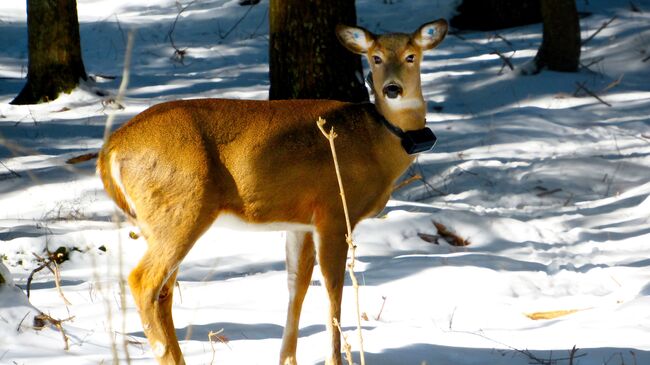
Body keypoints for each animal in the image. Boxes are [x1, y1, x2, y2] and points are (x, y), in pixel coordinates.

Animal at [97, 19, 446, 364]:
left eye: (411, 56)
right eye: (375, 57)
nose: (392, 89)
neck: (377, 143)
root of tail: (109, 151)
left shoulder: (301, 221)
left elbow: (297, 284)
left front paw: (288, 358)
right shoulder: (334, 211)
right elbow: (332, 288)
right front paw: (334, 358)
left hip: (160, 219)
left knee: (164, 292)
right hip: (181, 207)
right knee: (143, 281)